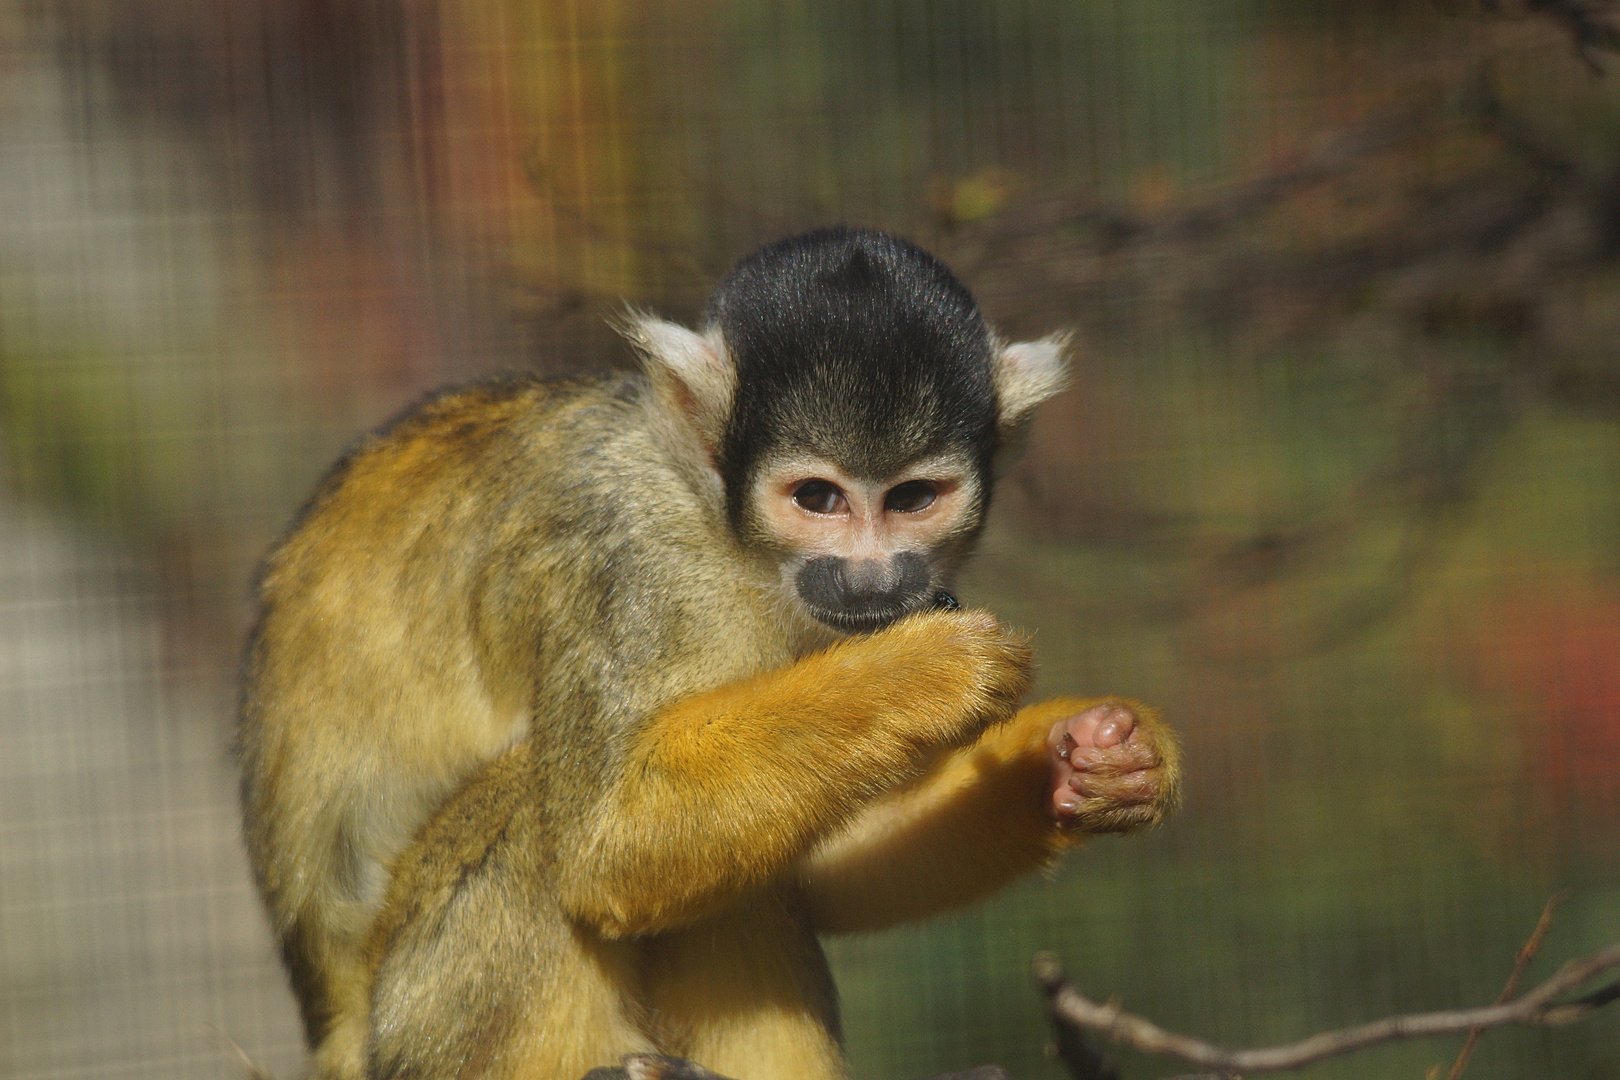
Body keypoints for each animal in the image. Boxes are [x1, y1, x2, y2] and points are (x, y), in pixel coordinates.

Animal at [234, 228, 1179, 1080]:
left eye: (913, 498)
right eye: (816, 498)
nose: (872, 580)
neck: (726, 534)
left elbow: (813, 866)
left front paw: (1083, 757)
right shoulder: (626, 549)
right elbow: (607, 839)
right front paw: (926, 675)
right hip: (414, 1032)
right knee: (536, 812)